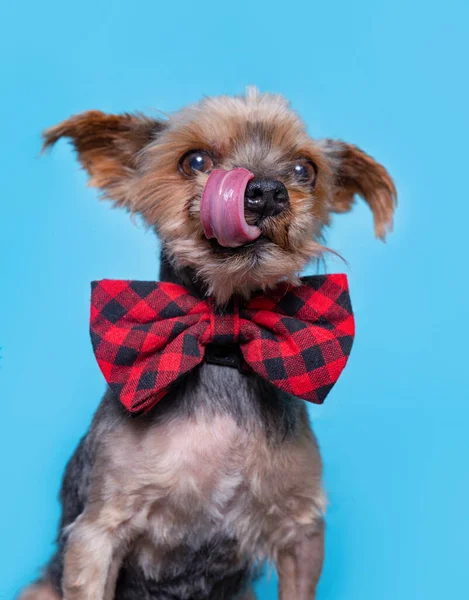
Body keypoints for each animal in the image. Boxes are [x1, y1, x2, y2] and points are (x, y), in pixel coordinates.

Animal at [21, 85, 394, 600]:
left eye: (305, 170)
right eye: (194, 160)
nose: (265, 191)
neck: (223, 347)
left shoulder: (301, 532)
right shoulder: (98, 534)